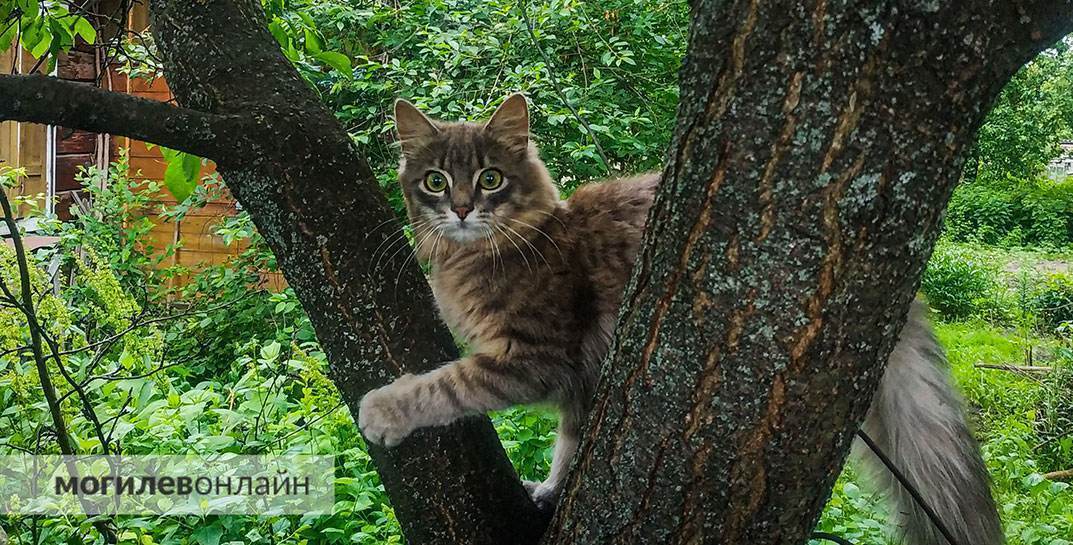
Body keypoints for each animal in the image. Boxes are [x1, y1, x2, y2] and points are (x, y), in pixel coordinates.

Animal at [360, 93, 1004, 545]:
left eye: (490, 178)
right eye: (435, 181)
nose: (461, 209)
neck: (477, 258)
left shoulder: (536, 358)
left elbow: (449, 384)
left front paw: (385, 408)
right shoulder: (581, 386)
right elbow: (569, 448)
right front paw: (548, 491)